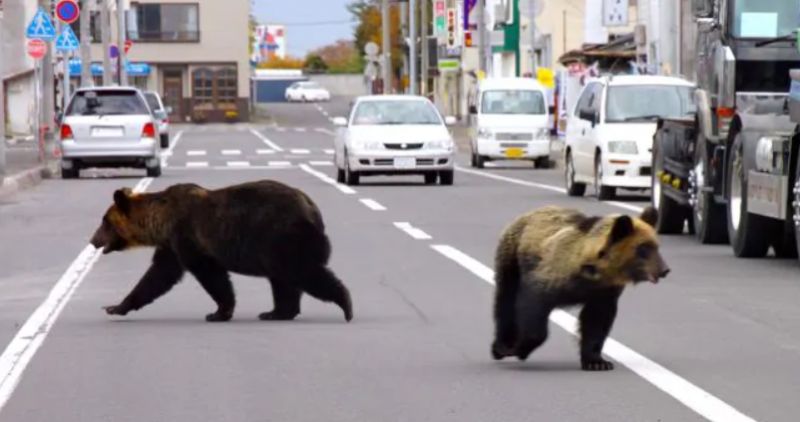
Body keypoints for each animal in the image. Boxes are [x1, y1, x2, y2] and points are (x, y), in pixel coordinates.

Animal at [89, 180, 353, 323]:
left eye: (105, 222)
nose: (93, 240)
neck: (160, 221)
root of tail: (313, 209)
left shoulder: (187, 236)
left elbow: (210, 274)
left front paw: (218, 312)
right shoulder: (171, 245)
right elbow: (158, 276)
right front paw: (115, 306)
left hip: (281, 236)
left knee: (301, 271)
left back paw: (345, 304)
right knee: (283, 279)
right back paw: (276, 312)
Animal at [491, 205, 669, 371]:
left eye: (657, 246)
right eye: (643, 248)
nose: (664, 270)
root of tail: (529, 213)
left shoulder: (603, 292)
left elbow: (596, 322)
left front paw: (597, 362)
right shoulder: (550, 275)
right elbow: (533, 306)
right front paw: (519, 349)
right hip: (512, 256)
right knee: (505, 298)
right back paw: (500, 346)